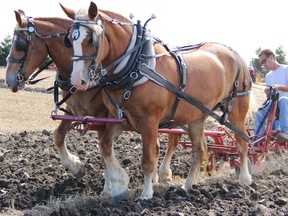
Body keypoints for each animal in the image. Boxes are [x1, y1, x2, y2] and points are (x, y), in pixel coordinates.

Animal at [3, 8, 180, 199]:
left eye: (20, 44)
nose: (9, 81)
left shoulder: (105, 117)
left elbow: (104, 150)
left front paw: (109, 187)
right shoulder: (75, 111)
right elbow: (58, 136)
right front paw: (77, 167)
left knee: (173, 140)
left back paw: (164, 175)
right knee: (156, 146)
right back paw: (154, 179)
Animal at [60, 1, 252, 201]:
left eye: (92, 40)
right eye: (70, 39)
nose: (77, 80)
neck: (136, 65)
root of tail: (235, 54)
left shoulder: (149, 122)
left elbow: (147, 160)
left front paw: (146, 194)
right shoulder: (120, 118)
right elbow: (105, 146)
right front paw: (120, 184)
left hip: (237, 109)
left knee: (243, 142)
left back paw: (245, 179)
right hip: (197, 118)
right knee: (199, 151)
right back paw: (187, 185)